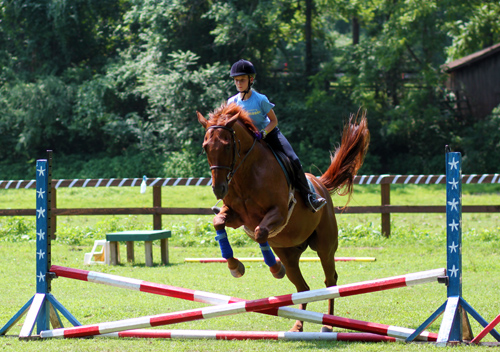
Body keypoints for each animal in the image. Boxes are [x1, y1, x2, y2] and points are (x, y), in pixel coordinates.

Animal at [197, 102, 370, 332]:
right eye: (205, 147)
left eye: (226, 146)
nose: (219, 189)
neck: (246, 174)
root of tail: (320, 184)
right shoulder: (236, 217)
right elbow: (219, 223)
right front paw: (235, 267)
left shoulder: (278, 212)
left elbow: (261, 232)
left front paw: (275, 269)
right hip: (289, 253)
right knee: (303, 288)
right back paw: (298, 325)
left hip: (325, 246)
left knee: (330, 281)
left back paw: (327, 325)